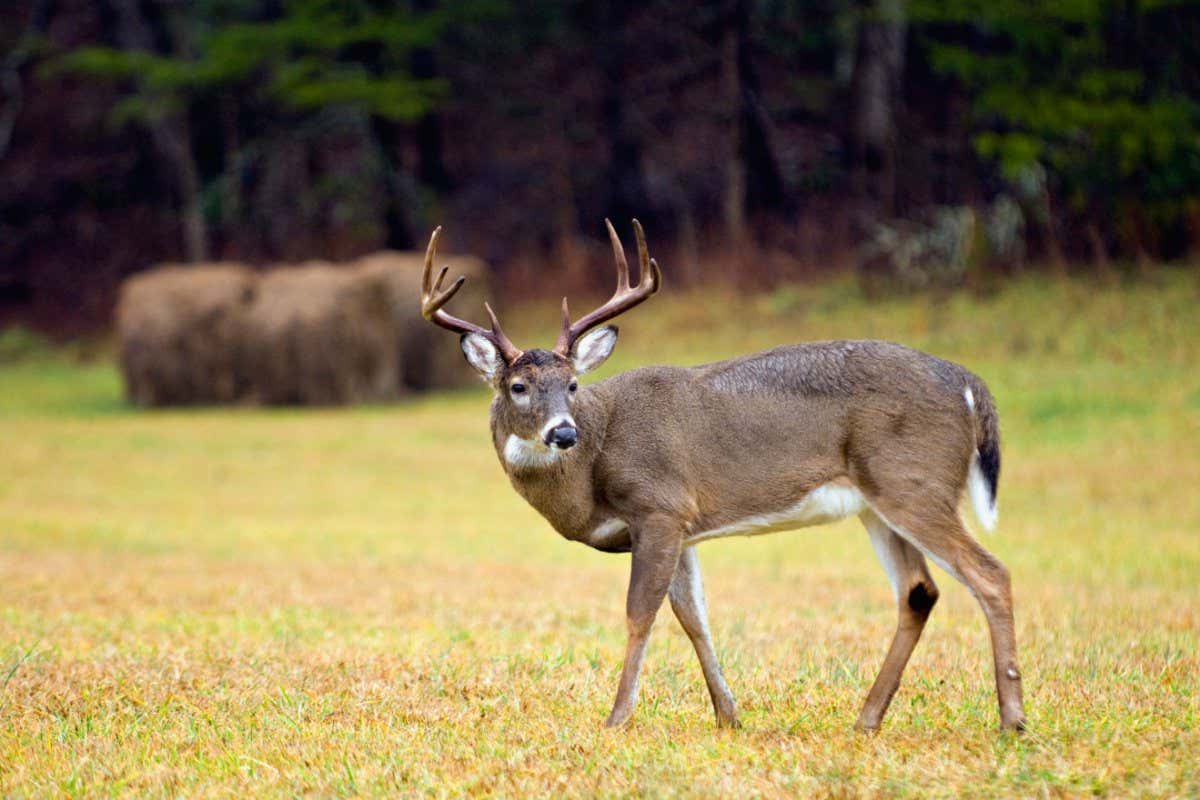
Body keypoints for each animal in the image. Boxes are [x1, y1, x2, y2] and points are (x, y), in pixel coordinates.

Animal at [418, 220, 1027, 732]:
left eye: (571, 385)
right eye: (519, 387)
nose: (563, 433)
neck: (594, 461)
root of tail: (968, 383)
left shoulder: (658, 504)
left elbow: (640, 613)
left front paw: (617, 718)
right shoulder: (681, 525)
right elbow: (694, 617)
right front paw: (728, 715)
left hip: (912, 480)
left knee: (990, 573)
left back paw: (1011, 719)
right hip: (878, 501)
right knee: (918, 591)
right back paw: (867, 719)